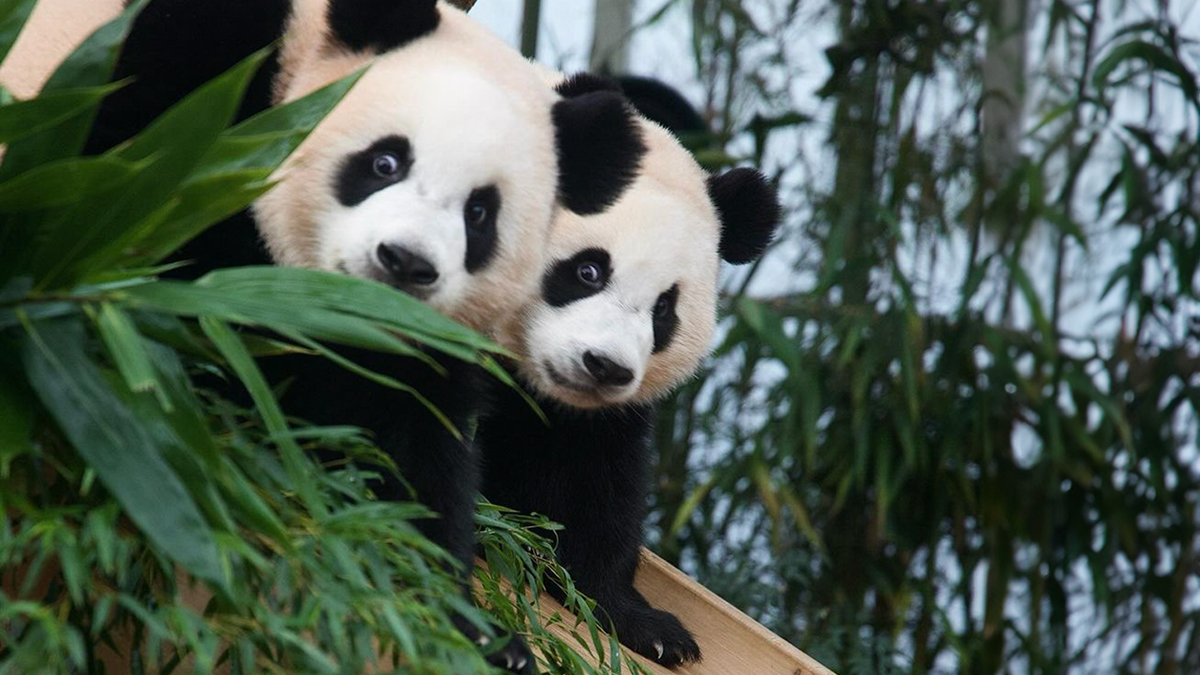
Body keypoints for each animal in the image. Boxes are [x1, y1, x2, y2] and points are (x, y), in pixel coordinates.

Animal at [84, 2, 645, 672]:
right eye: (386, 163)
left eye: (479, 214)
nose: (405, 262)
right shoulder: (198, 85)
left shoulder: (425, 342)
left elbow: (415, 446)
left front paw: (468, 626)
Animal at [478, 74, 781, 667]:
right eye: (589, 270)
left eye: (664, 308)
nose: (604, 366)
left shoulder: (600, 418)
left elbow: (600, 490)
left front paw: (647, 626)